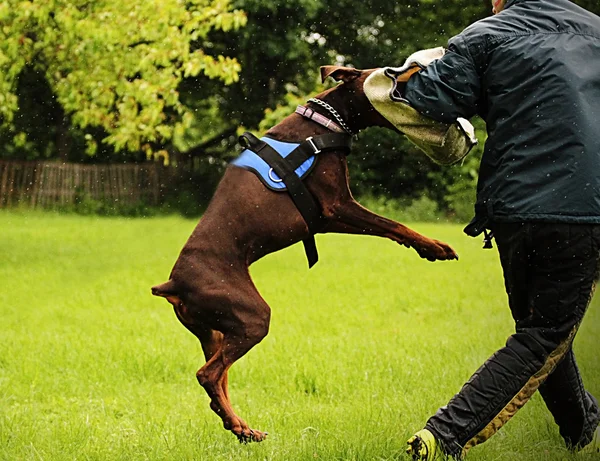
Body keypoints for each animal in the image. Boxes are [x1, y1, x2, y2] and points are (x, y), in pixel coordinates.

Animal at [152, 65, 458, 442]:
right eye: (391, 71)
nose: (422, 68)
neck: (322, 123)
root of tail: (173, 284)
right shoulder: (336, 206)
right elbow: (392, 224)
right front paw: (434, 247)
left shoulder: (332, 214)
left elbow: (388, 227)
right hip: (252, 317)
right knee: (208, 374)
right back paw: (240, 427)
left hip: (214, 332)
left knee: (218, 379)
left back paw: (241, 426)